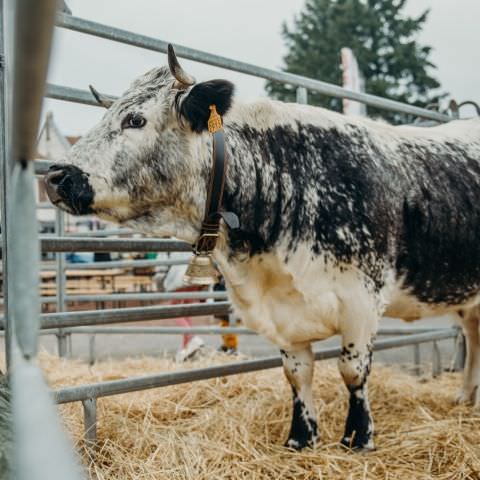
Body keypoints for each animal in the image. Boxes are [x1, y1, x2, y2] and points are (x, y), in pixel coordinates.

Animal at [45, 45, 480, 450]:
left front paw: (358, 437)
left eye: (134, 119)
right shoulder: (282, 313)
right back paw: (465, 398)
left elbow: (352, 371)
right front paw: (301, 438)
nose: (55, 175)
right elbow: (297, 374)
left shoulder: (361, 299)